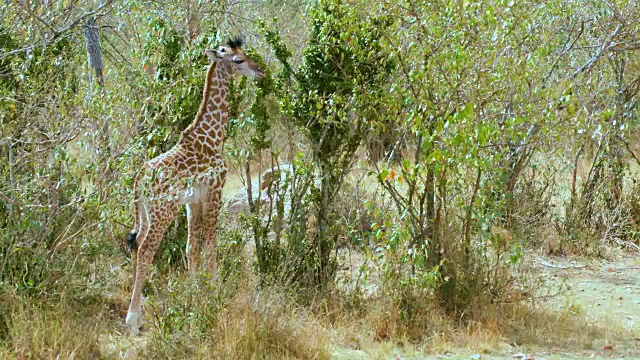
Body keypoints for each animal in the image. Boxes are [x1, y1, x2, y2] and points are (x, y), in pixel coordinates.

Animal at [125, 37, 264, 334]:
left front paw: (193, 294)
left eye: (245, 54)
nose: (260, 71)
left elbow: (192, 248)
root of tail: (139, 177)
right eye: (237, 60)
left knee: (138, 243)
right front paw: (213, 293)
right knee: (145, 249)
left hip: (146, 212)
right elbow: (211, 245)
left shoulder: (193, 201)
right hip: (163, 211)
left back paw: (139, 314)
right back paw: (131, 319)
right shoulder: (215, 192)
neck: (211, 136)